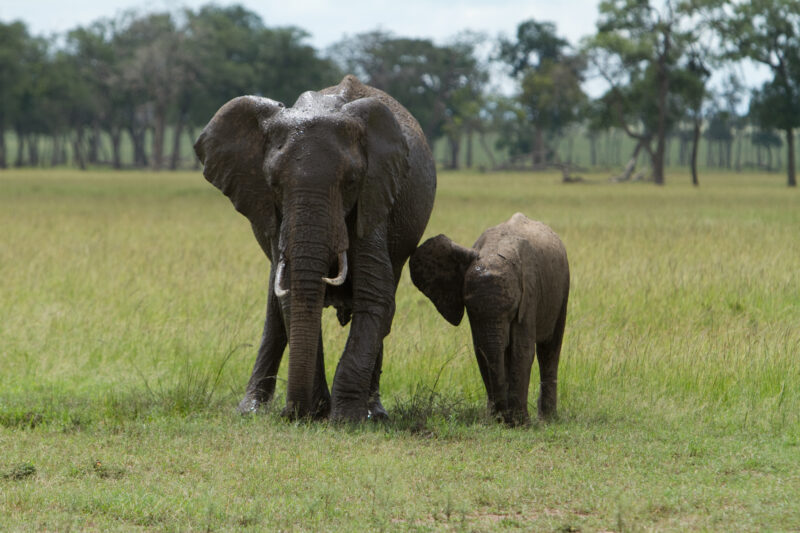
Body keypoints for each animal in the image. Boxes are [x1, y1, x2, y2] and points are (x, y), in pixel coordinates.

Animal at [194, 75, 436, 422]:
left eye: (351, 181)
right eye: (274, 184)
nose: (292, 414)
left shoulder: (374, 196)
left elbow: (374, 295)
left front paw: (346, 419)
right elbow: (292, 295)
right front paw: (317, 412)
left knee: (386, 308)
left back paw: (374, 413)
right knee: (274, 309)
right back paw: (250, 410)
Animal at [409, 213, 569, 425]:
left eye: (513, 308)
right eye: (469, 307)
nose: (502, 418)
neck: (495, 250)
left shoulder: (530, 293)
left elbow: (522, 350)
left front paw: (520, 423)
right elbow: (482, 350)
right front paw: (498, 421)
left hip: (563, 287)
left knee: (550, 348)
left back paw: (547, 418)